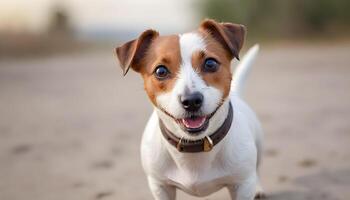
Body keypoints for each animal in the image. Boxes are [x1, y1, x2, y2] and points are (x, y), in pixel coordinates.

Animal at [114, 19, 262, 200]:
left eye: (210, 63)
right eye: (160, 70)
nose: (191, 101)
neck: (194, 147)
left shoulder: (242, 185)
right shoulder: (160, 186)